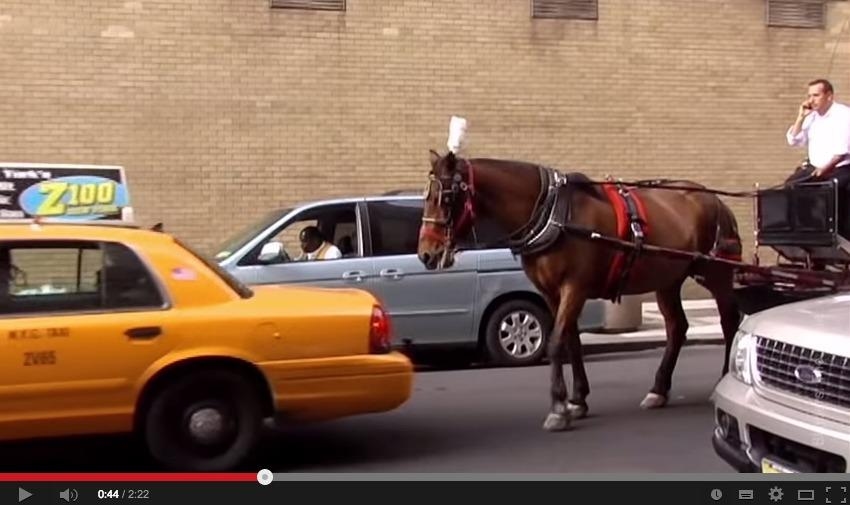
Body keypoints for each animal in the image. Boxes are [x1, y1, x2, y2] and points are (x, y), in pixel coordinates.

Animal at [418, 150, 744, 430]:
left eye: (446, 197)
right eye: (427, 196)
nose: (426, 254)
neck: (554, 215)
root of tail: (716, 201)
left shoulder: (574, 287)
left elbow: (556, 342)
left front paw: (558, 408)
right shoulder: (551, 293)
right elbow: (572, 342)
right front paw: (577, 400)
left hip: (717, 273)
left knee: (730, 322)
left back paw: (722, 380)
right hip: (667, 280)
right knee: (677, 327)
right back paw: (658, 390)